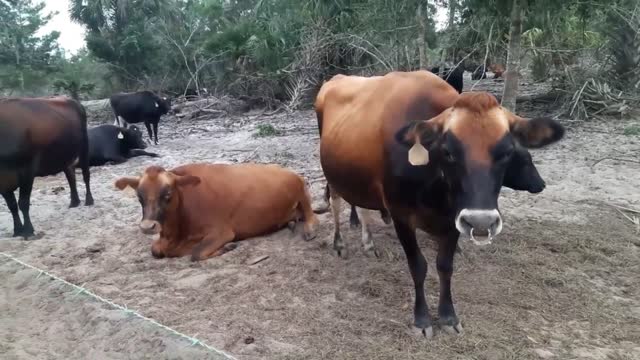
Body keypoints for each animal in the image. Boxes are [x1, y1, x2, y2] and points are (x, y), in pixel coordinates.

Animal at [0, 95, 94, 238]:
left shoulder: (27, 170)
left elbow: (23, 203)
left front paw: (28, 230)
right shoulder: (3, 181)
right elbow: (12, 205)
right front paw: (17, 230)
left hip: (84, 146)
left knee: (86, 175)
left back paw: (89, 200)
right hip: (64, 155)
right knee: (71, 176)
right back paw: (74, 202)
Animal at [115, 163, 320, 262]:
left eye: (168, 194)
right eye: (139, 196)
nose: (147, 227)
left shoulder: (223, 232)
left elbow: (196, 253)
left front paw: (227, 247)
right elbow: (156, 250)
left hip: (301, 189)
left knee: (311, 214)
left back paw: (309, 229)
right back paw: (291, 223)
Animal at [316, 71, 564, 338]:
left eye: (507, 152)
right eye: (448, 151)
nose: (481, 221)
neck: (434, 182)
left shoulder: (452, 219)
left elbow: (445, 266)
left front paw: (448, 316)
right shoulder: (401, 215)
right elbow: (418, 266)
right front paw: (422, 319)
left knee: (361, 207)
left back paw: (368, 243)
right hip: (334, 176)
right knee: (336, 203)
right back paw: (340, 243)